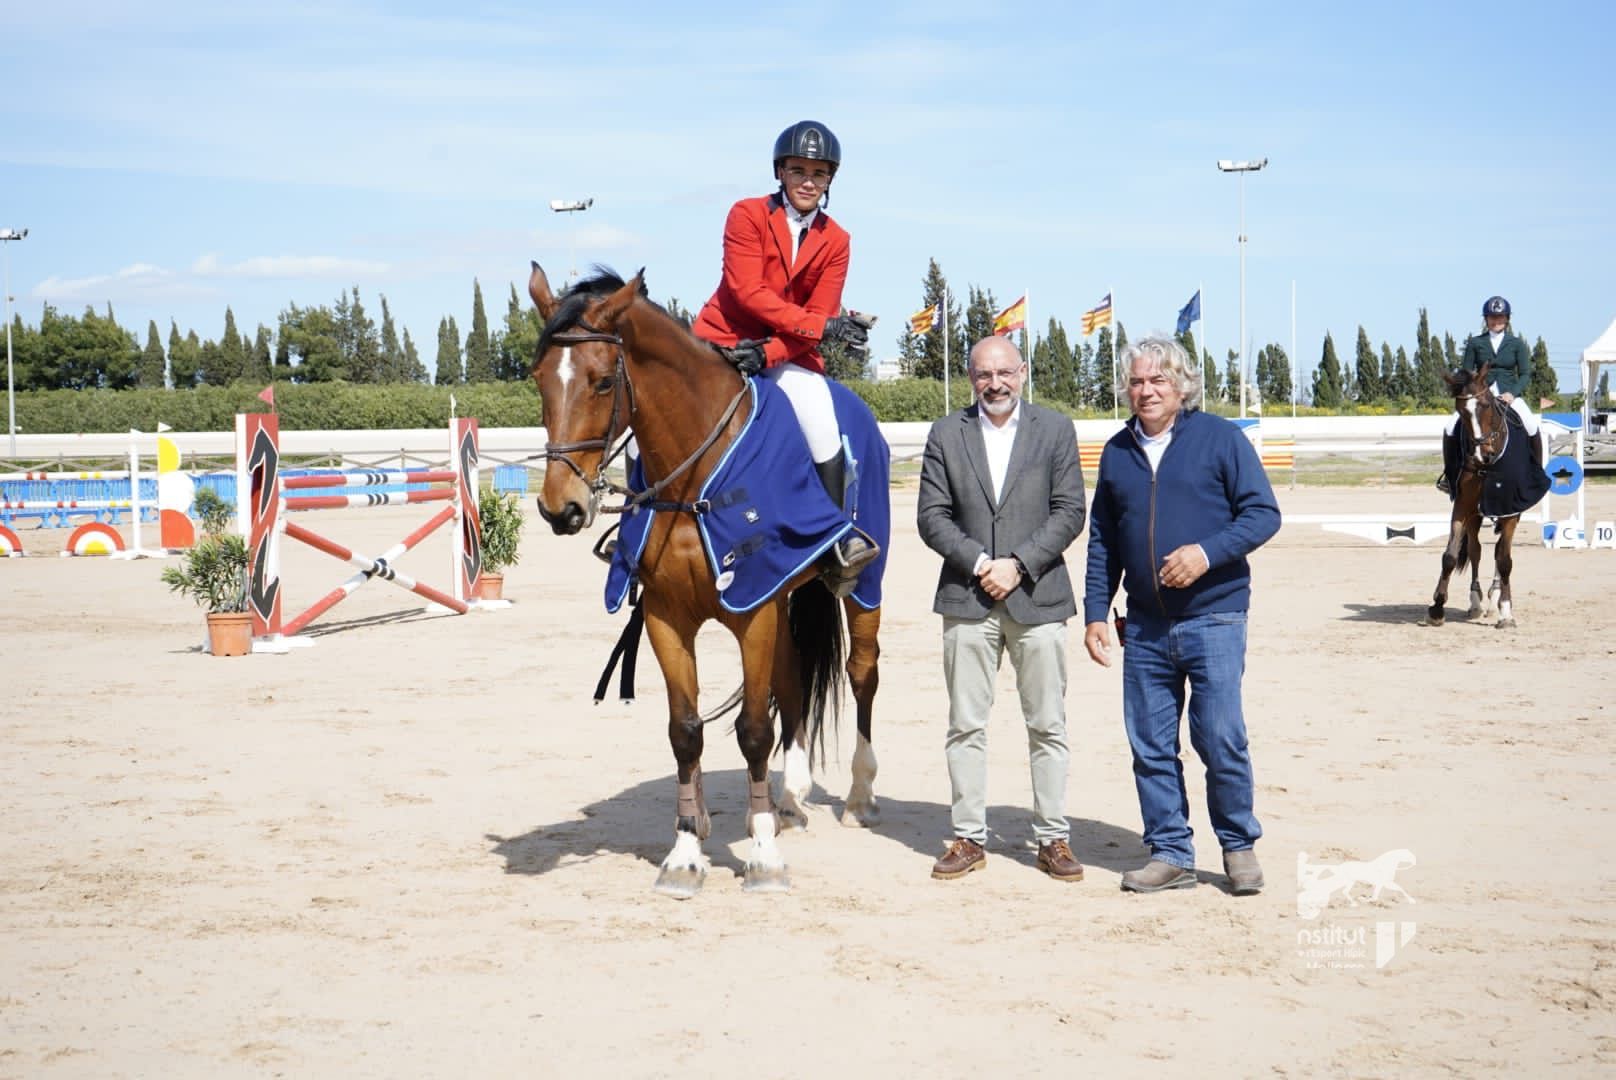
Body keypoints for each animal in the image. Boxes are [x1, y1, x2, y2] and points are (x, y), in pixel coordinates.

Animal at [526, 265, 885, 898]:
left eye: (602, 382)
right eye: (539, 378)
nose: (560, 508)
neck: (694, 478)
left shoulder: (753, 610)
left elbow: (753, 731)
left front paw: (762, 858)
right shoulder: (669, 617)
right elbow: (685, 731)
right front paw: (687, 850)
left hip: (861, 587)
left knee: (861, 673)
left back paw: (858, 796)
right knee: (792, 681)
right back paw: (789, 799)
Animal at [1428, 365, 1525, 627]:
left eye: (1486, 405)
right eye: (1461, 412)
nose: (1483, 454)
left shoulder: (1510, 511)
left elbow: (1504, 560)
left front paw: (1506, 613)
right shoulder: (1463, 505)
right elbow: (1450, 556)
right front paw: (1437, 608)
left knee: (1500, 553)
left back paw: (1496, 599)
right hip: (1475, 514)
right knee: (1476, 551)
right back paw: (1476, 603)